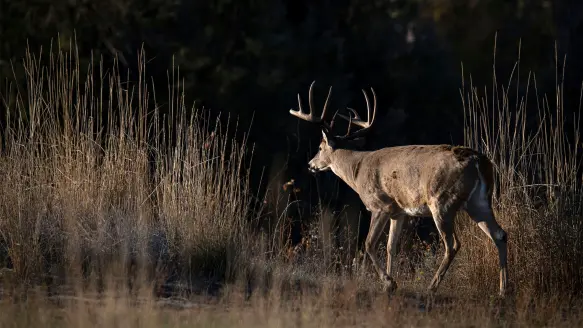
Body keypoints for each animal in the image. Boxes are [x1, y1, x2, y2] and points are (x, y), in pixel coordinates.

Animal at [290, 80, 508, 296]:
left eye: (319, 147)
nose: (310, 164)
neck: (357, 171)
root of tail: (479, 161)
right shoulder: (399, 212)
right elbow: (390, 246)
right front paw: (389, 283)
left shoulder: (380, 206)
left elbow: (369, 243)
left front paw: (389, 282)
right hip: (479, 202)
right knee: (500, 234)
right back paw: (503, 290)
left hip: (442, 201)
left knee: (453, 244)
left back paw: (432, 287)